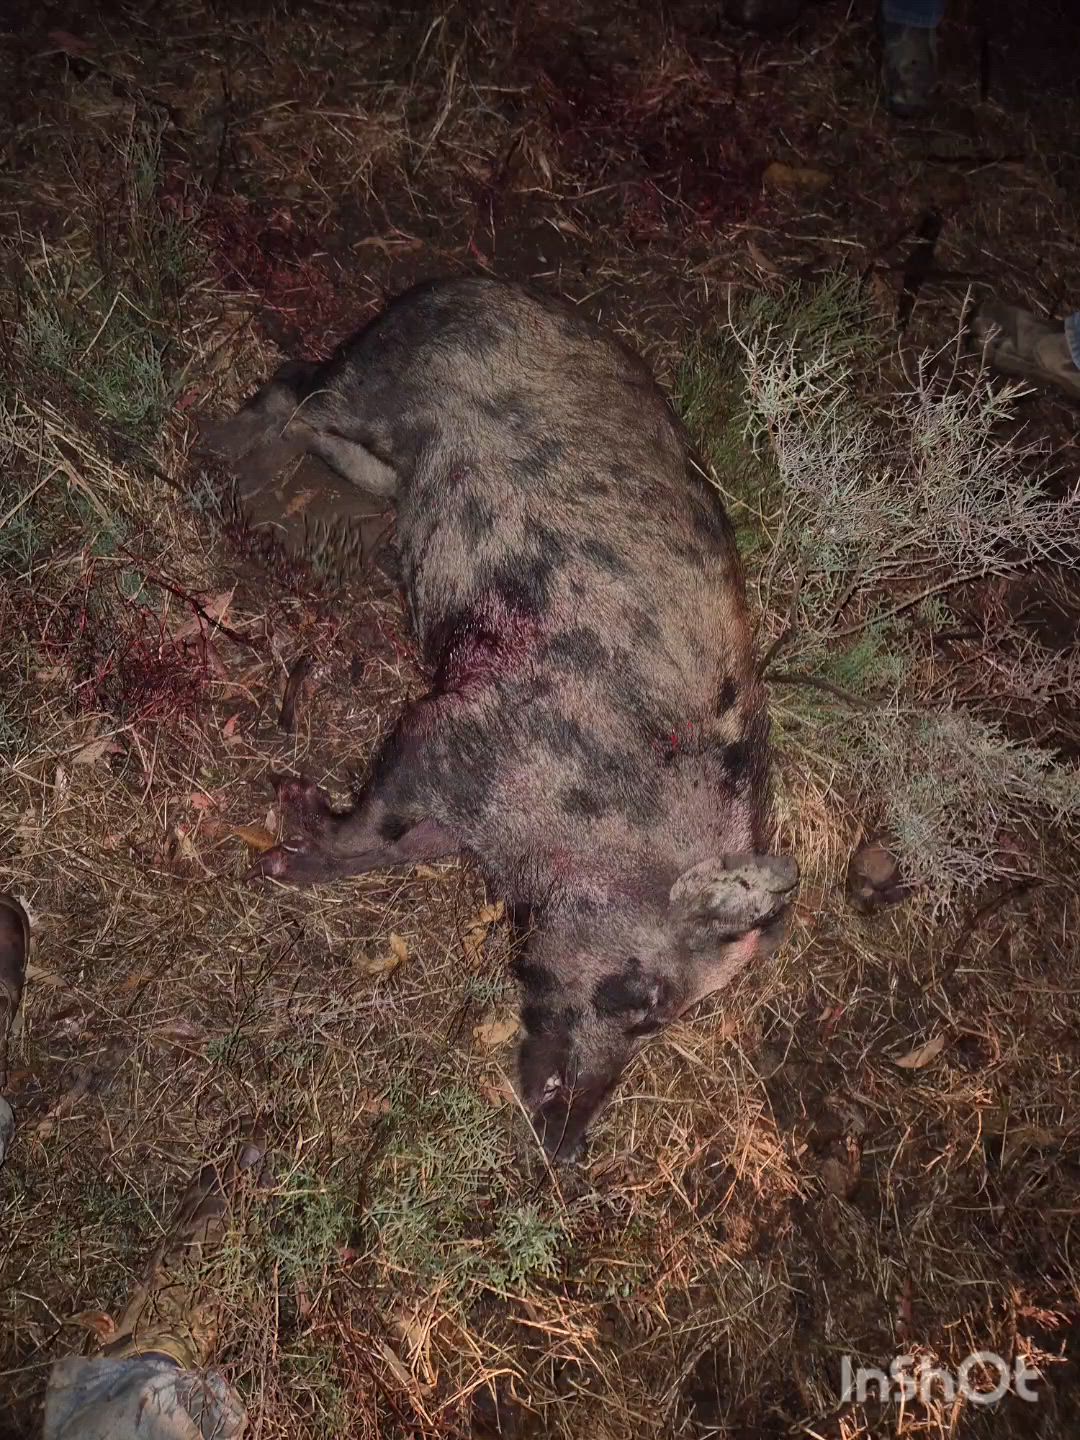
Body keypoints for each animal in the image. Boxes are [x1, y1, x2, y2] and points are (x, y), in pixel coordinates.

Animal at [206, 275, 798, 1159]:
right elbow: (377, 825)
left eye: (666, 1023)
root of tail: (470, 285)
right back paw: (217, 450)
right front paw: (288, 836)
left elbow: (398, 849)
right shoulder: (458, 732)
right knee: (292, 383)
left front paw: (289, 851)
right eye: (641, 1000)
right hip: (379, 384)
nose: (569, 1148)